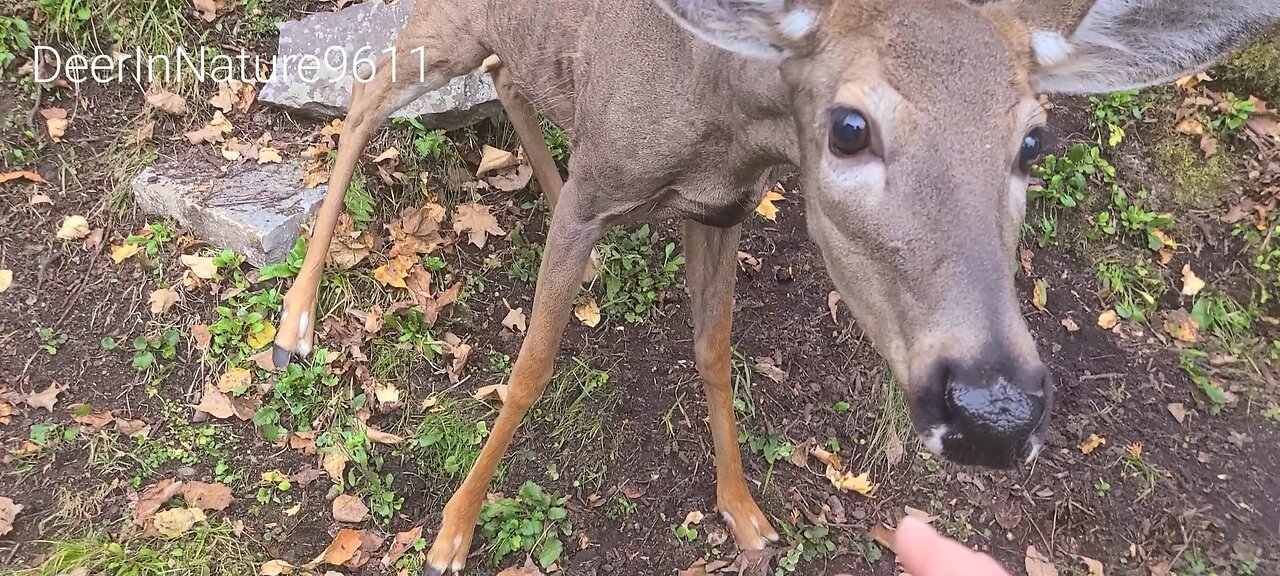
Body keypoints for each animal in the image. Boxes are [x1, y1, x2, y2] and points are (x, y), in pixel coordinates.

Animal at [267, 0, 1269, 570]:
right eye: (850, 126)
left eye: (1033, 139)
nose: (995, 408)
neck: (724, 115)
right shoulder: (611, 184)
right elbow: (532, 365)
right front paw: (452, 531)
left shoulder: (720, 212)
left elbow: (714, 352)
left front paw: (745, 515)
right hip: (445, 22)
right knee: (365, 95)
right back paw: (296, 321)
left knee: (505, 74)